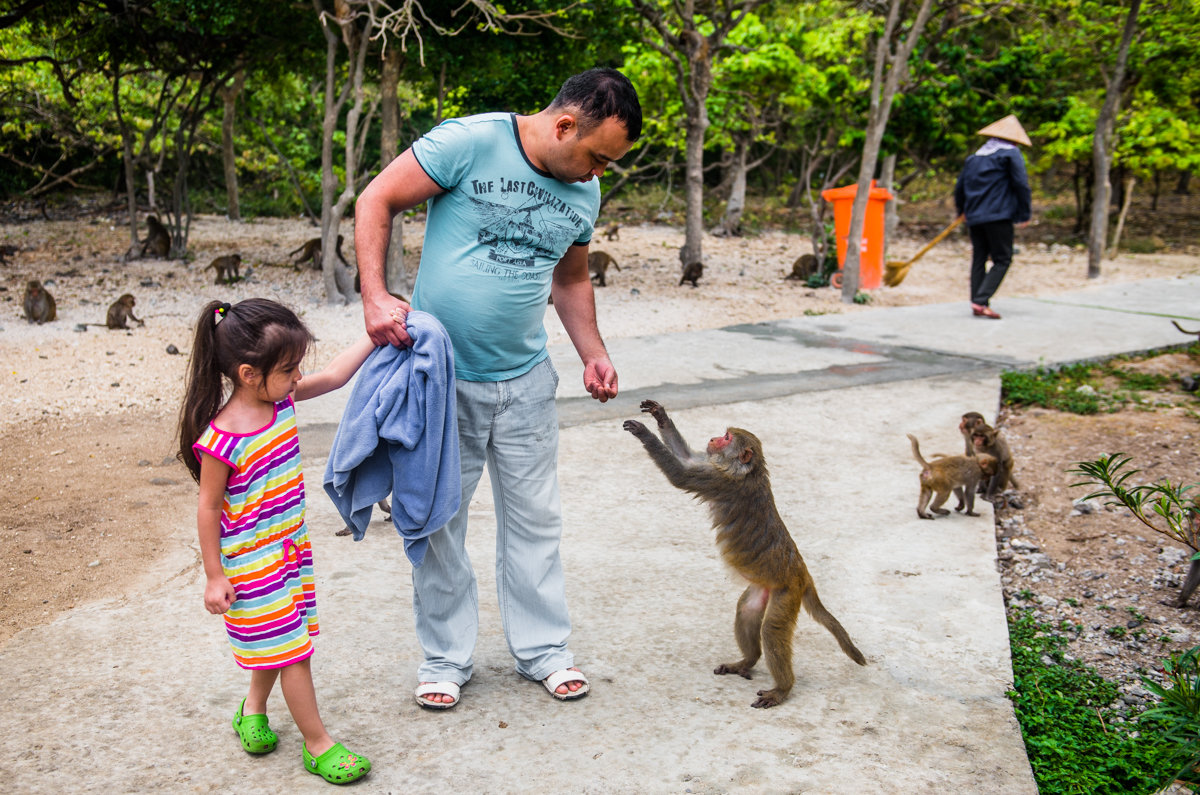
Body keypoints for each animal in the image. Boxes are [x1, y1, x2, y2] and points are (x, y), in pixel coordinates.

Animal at [624, 401, 868, 710]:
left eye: (727, 438)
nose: (713, 438)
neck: (746, 471)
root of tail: (802, 572)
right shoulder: (716, 467)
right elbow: (687, 458)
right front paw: (660, 416)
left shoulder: (722, 481)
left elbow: (681, 474)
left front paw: (643, 432)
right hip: (765, 587)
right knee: (747, 610)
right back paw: (748, 661)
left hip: (787, 593)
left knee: (771, 630)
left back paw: (783, 688)